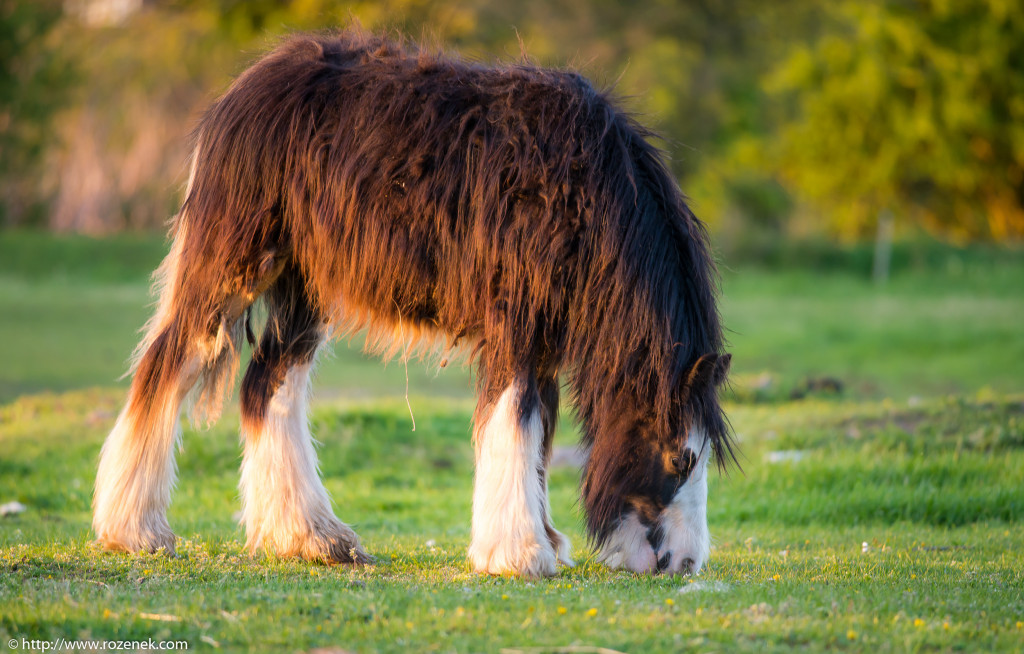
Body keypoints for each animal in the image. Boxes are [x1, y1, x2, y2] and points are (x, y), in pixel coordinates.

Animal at [92, 29, 733, 577]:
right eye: (681, 460)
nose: (684, 564)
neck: (588, 190)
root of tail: (246, 86)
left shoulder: (546, 334)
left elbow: (542, 435)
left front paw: (543, 540)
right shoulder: (516, 324)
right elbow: (516, 419)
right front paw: (518, 552)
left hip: (306, 287)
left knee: (267, 387)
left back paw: (310, 537)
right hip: (234, 263)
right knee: (167, 365)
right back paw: (135, 530)